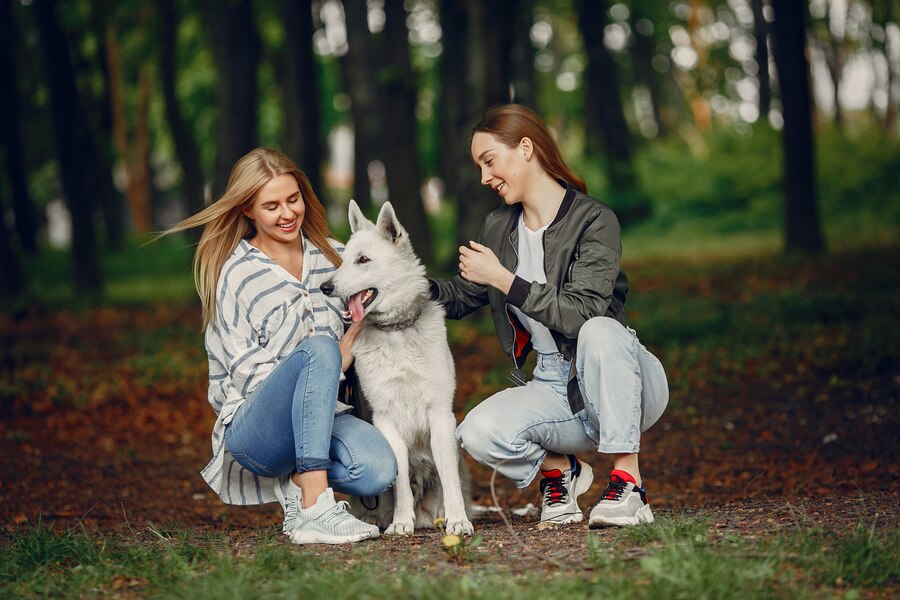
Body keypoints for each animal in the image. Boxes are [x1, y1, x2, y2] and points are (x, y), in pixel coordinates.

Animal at [324, 200, 478, 536]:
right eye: (343, 260)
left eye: (363, 260)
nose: (325, 286)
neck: (396, 330)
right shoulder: (385, 419)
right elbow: (400, 483)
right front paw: (401, 522)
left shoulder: (440, 415)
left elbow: (449, 478)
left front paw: (459, 521)